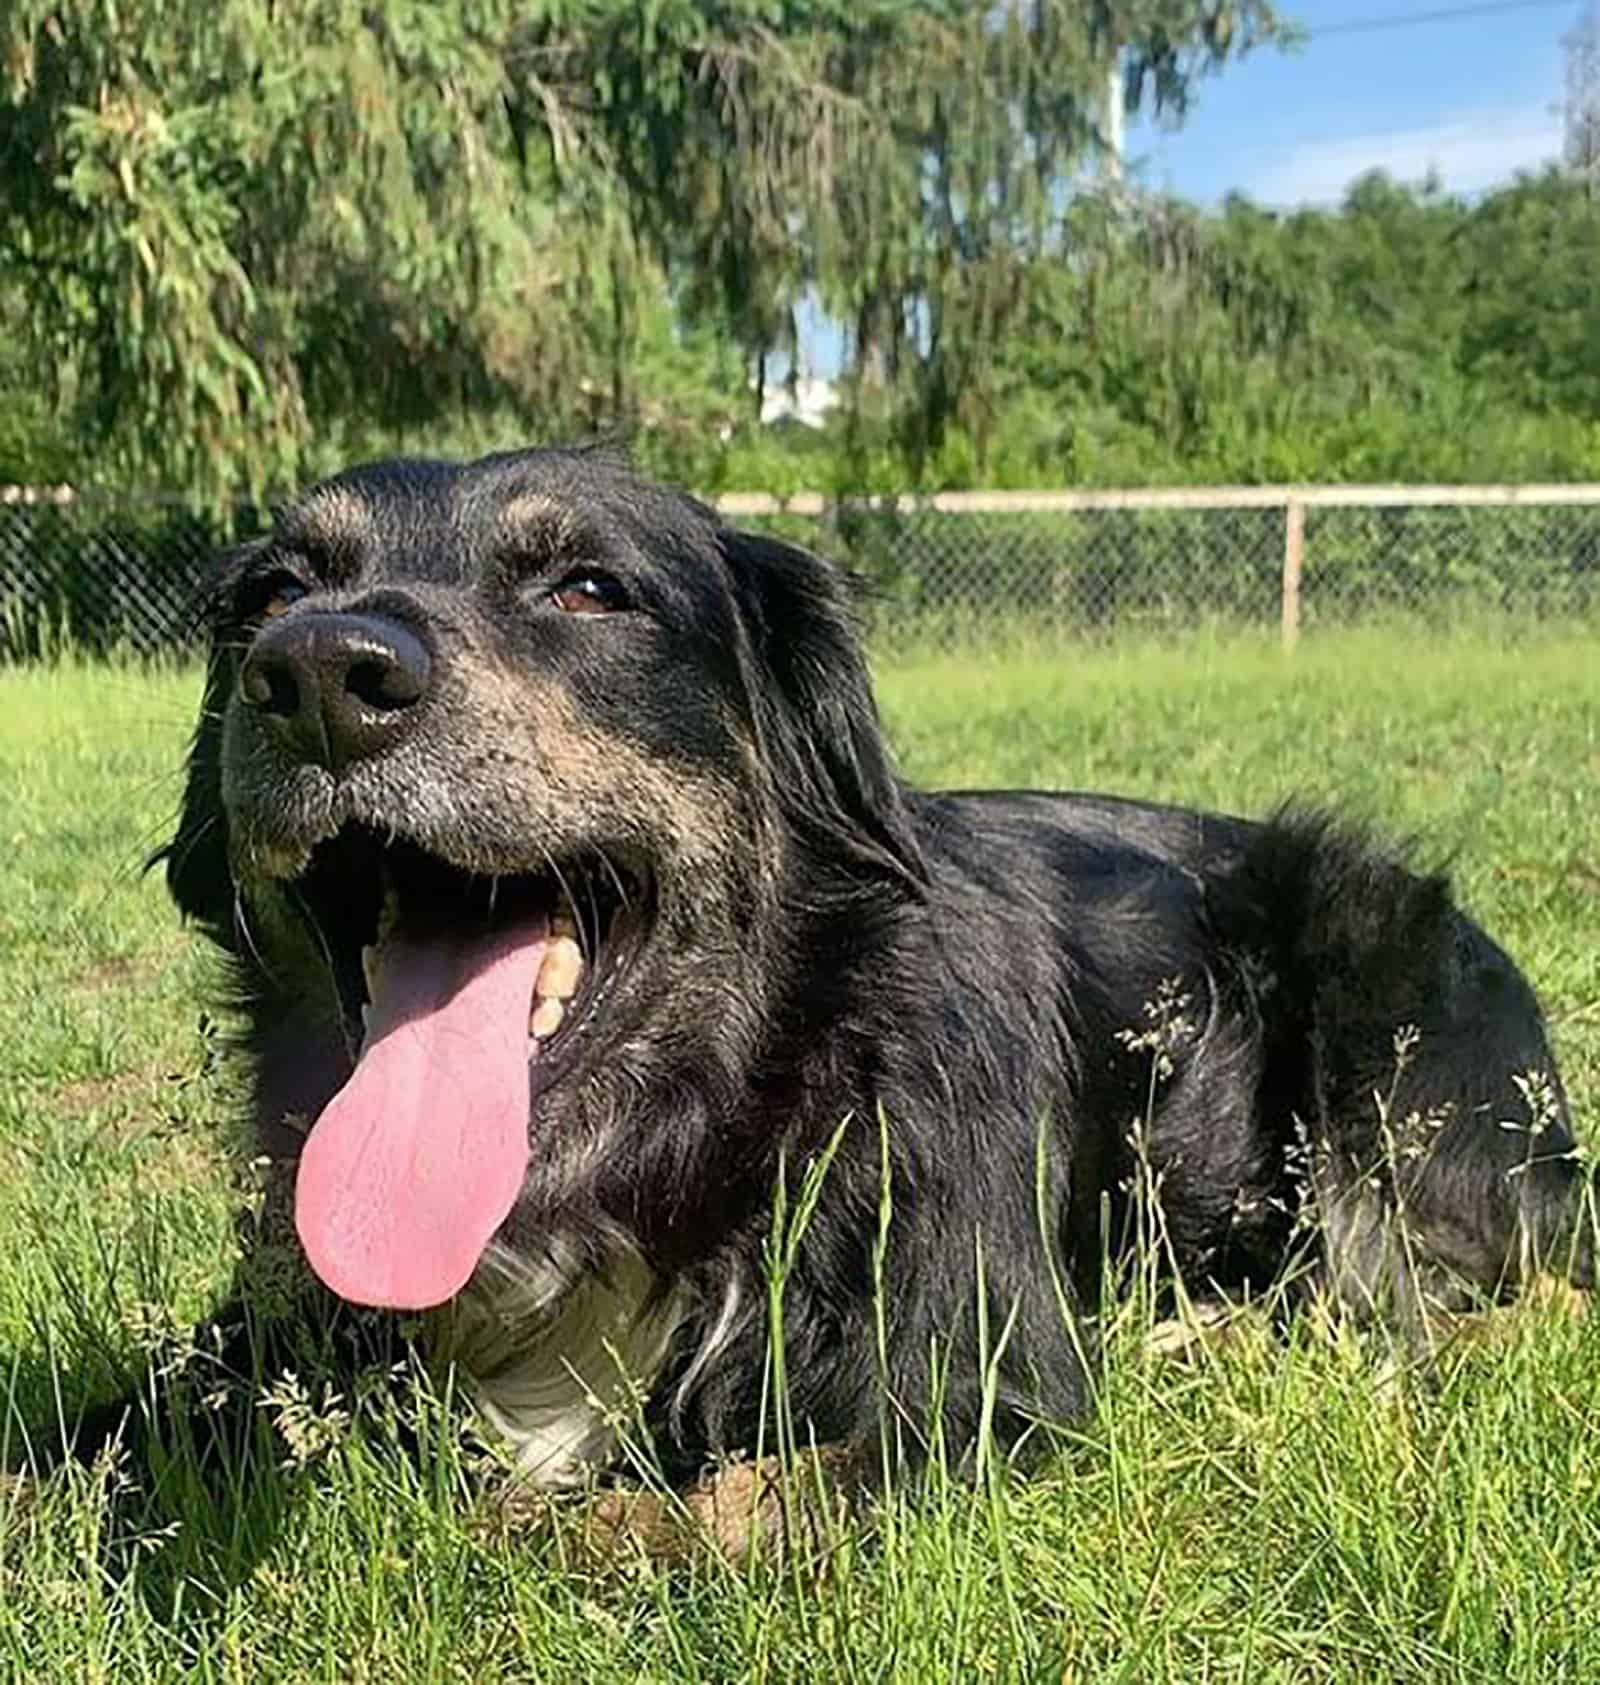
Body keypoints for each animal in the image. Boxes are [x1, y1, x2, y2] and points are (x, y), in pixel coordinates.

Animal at [97, 448, 1589, 1503]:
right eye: (275, 593)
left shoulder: (983, 1382)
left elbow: (693, 1506)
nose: (317, 674)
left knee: (1494, 1300)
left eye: (588, 588)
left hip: (1382, 1020)